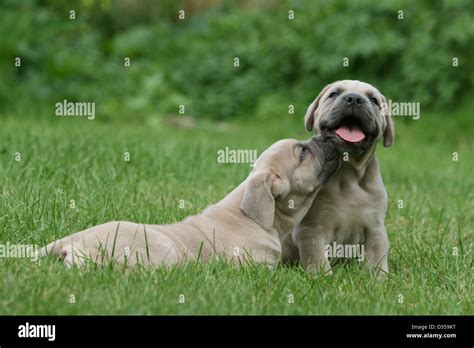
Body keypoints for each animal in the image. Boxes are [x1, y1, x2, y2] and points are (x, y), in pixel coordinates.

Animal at [290, 79, 394, 278]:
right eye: (334, 94)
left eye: (373, 100)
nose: (354, 99)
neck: (347, 173)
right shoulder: (311, 229)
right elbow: (316, 255)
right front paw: (322, 277)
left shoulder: (375, 227)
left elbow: (377, 255)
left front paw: (379, 278)